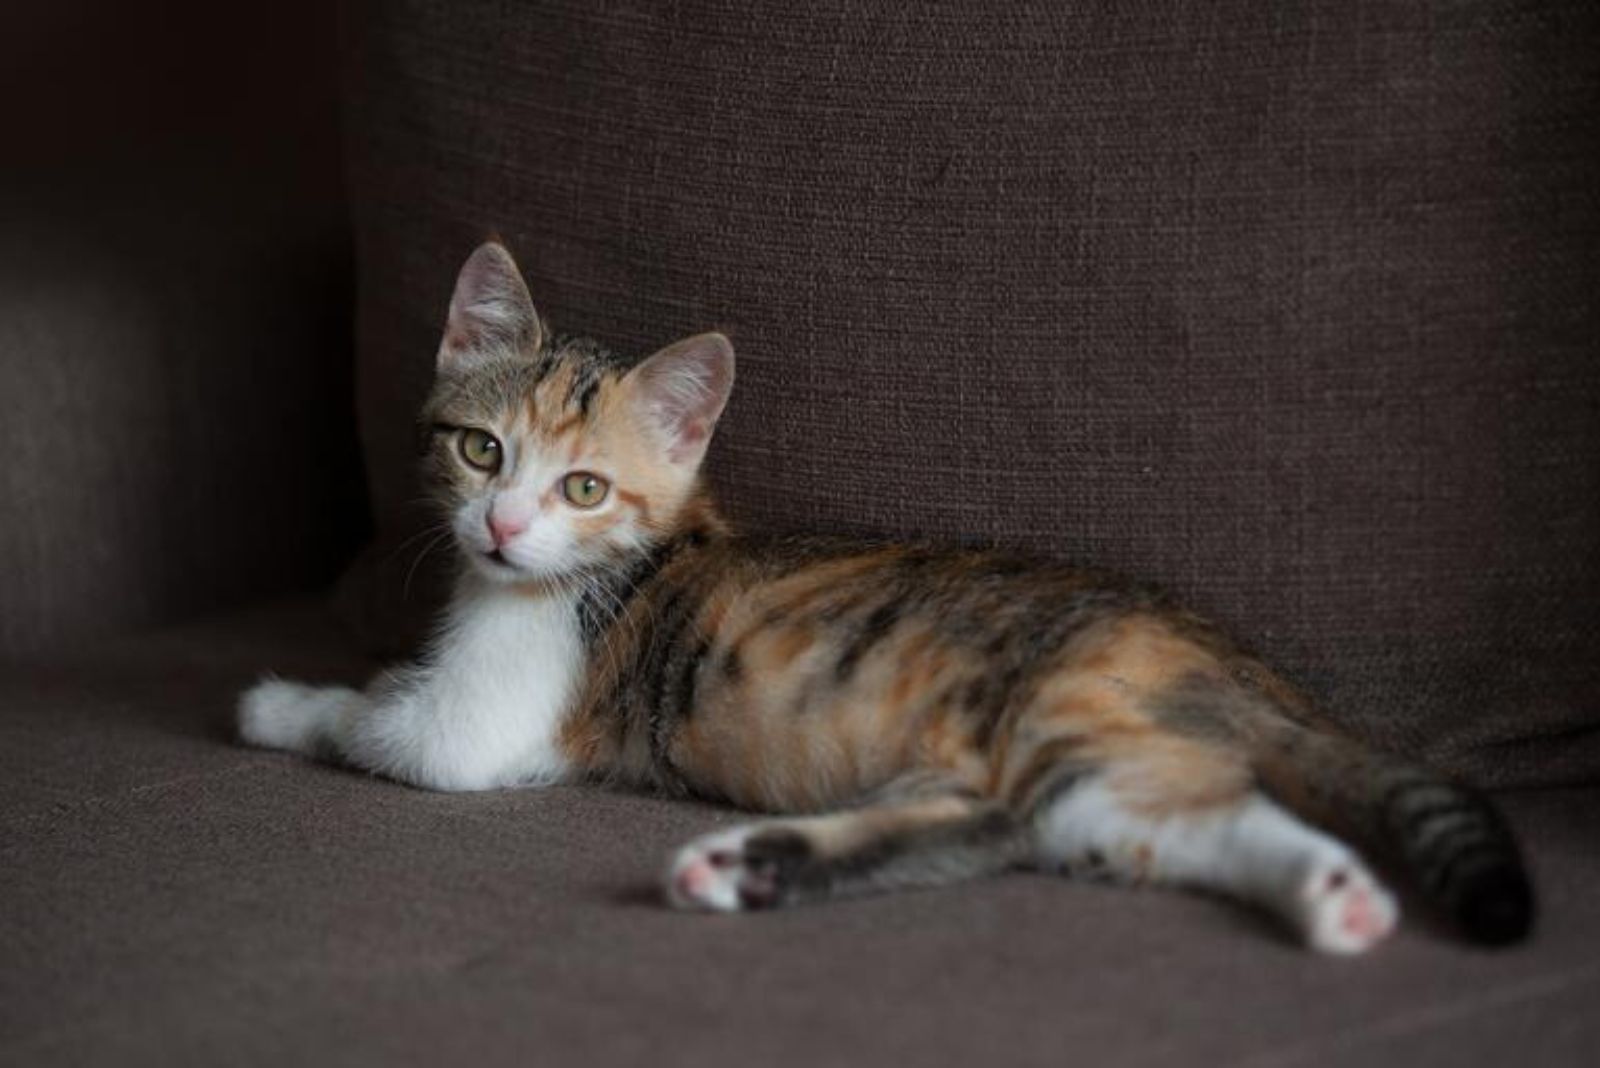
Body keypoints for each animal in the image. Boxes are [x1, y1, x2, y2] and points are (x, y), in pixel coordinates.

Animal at [236, 239, 1536, 952]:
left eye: (586, 486)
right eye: (481, 453)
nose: (503, 529)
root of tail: (1221, 650)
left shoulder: (478, 729)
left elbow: (373, 718)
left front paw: (276, 703)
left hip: (1062, 716)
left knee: (1027, 821)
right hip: (1099, 782)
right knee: (1113, 825)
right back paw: (1335, 897)